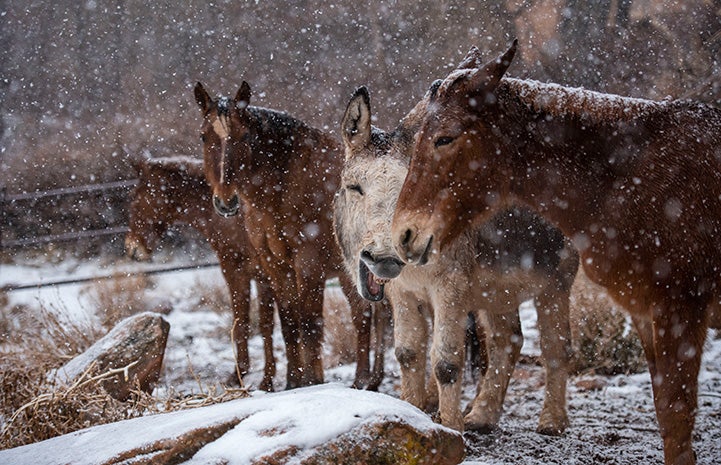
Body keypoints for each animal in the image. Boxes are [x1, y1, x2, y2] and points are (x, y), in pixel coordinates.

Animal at [125, 155, 278, 388]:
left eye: (135, 198)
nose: (132, 248)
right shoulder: (264, 278)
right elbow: (265, 325)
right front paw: (267, 378)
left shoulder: (236, 272)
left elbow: (241, 322)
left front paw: (239, 375)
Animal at [194, 81, 390, 390]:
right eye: (204, 136)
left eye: (245, 136)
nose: (226, 201)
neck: (283, 184)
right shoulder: (275, 266)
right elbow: (288, 322)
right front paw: (292, 383)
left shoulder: (307, 264)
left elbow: (309, 324)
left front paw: (311, 382)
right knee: (367, 316)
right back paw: (368, 380)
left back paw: (364, 380)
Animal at [334, 76, 576, 436]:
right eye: (354, 187)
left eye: (410, 188)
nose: (386, 257)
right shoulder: (404, 293)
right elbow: (408, 353)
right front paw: (414, 412)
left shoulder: (449, 287)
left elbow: (446, 362)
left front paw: (450, 429)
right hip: (498, 292)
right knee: (508, 341)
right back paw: (483, 415)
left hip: (556, 283)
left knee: (556, 348)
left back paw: (552, 421)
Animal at [394, 40, 720, 464]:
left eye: (445, 138)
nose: (403, 235)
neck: (632, 176)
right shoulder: (647, 312)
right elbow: (667, 411)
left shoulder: (680, 307)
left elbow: (676, 413)